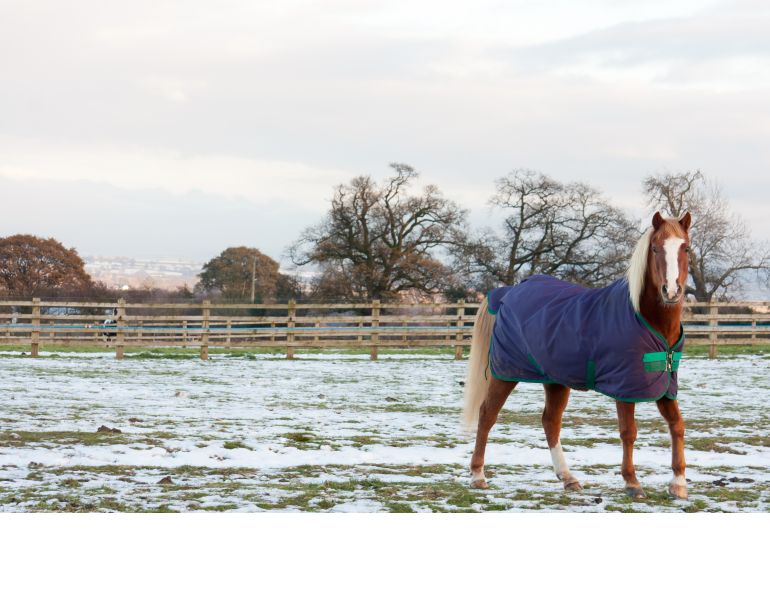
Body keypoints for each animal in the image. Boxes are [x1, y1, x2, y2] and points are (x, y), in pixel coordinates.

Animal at [462, 211, 692, 500]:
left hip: (555, 381)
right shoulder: (625, 387)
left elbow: (677, 425)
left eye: (686, 248)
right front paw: (632, 482)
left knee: (550, 422)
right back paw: (478, 475)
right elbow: (628, 432)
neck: (650, 321)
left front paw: (679, 483)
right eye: (654, 248)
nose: (671, 291)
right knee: (487, 415)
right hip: (506, 374)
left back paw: (568, 478)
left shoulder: (665, 385)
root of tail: (507, 293)